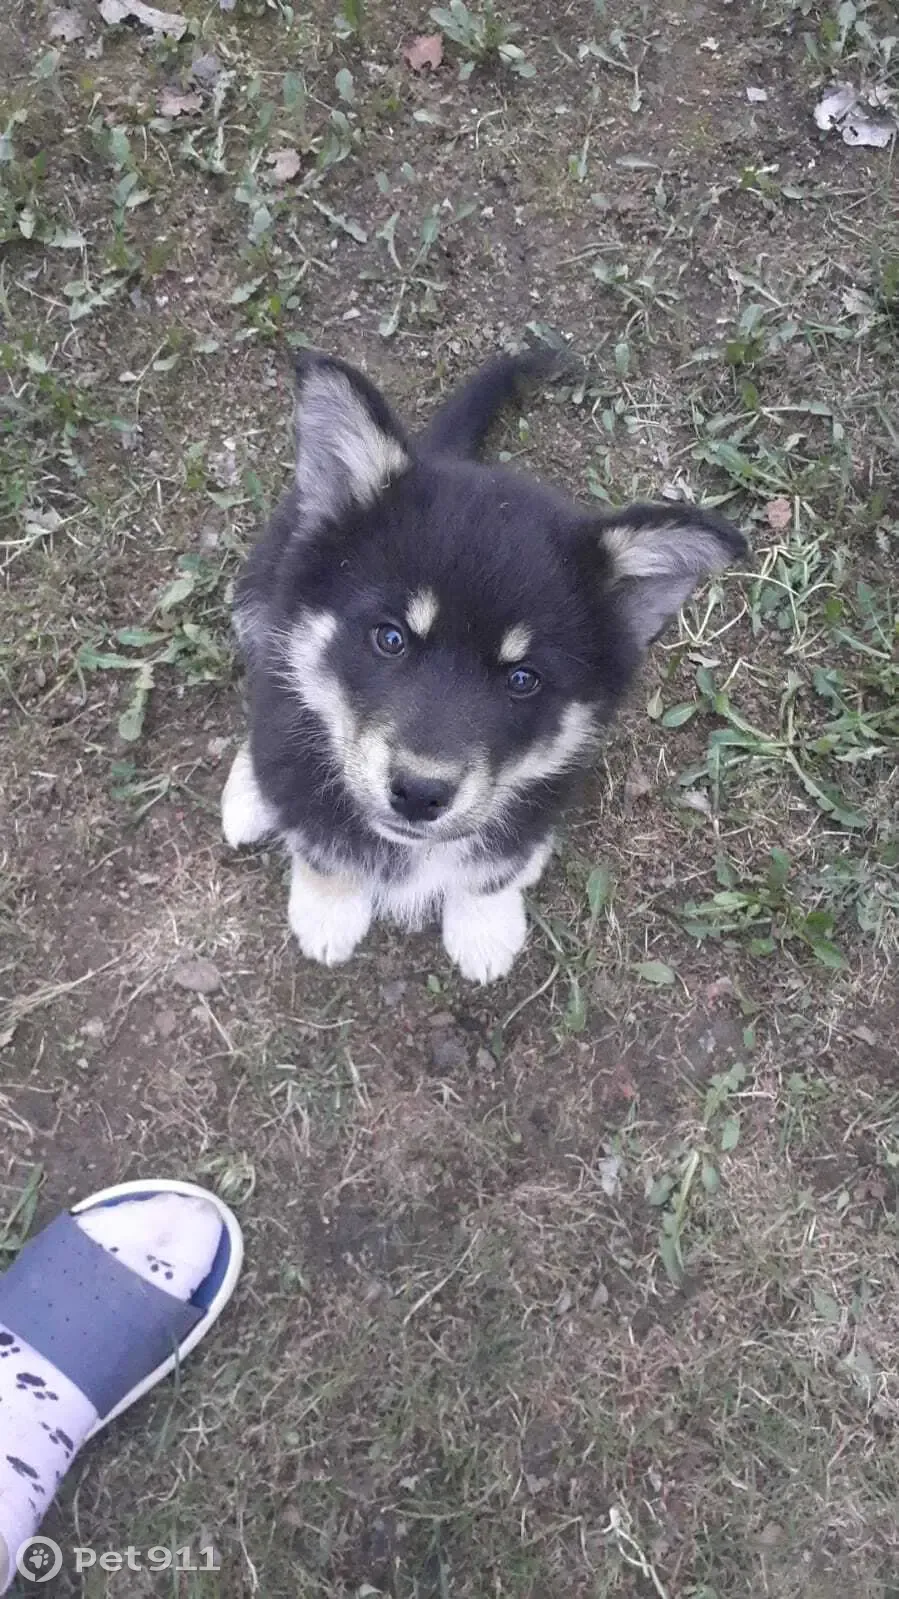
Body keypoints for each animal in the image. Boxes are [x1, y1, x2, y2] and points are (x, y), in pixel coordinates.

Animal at [221, 348, 747, 983]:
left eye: (523, 679)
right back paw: (248, 800)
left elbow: (493, 867)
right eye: (391, 638)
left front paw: (484, 927)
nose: (419, 794)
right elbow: (321, 843)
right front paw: (329, 912)